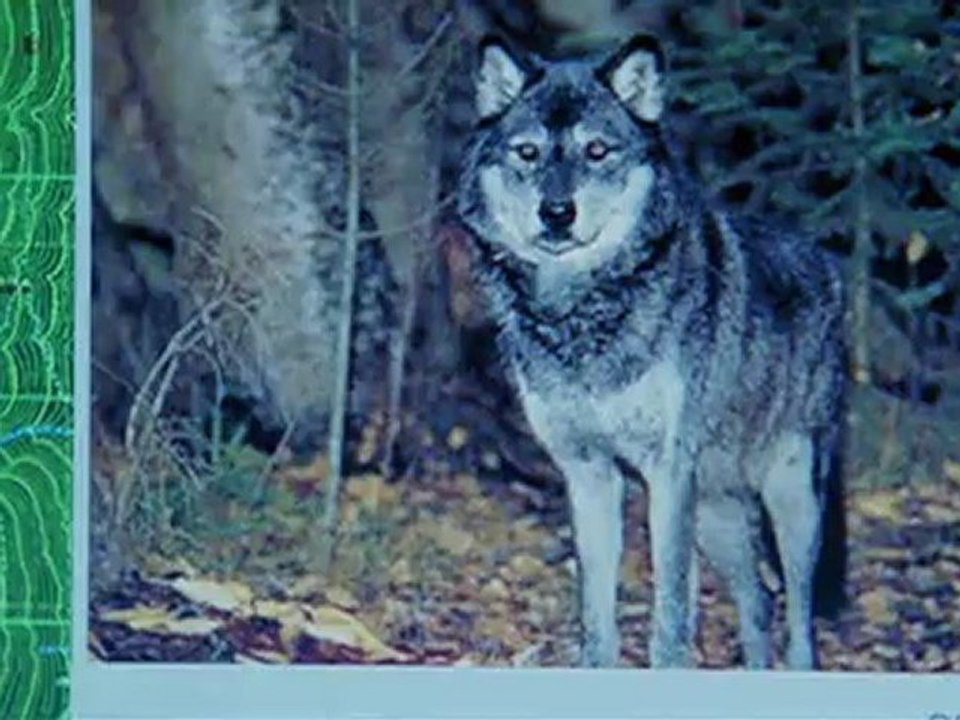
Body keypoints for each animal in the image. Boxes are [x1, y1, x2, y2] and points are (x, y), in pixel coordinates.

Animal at [457, 33, 848, 670]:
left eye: (596, 150)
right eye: (528, 153)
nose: (557, 212)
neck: (584, 314)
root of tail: (831, 264)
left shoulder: (667, 472)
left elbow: (670, 612)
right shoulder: (589, 473)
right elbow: (596, 615)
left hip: (789, 498)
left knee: (798, 619)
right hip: (716, 513)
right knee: (758, 600)